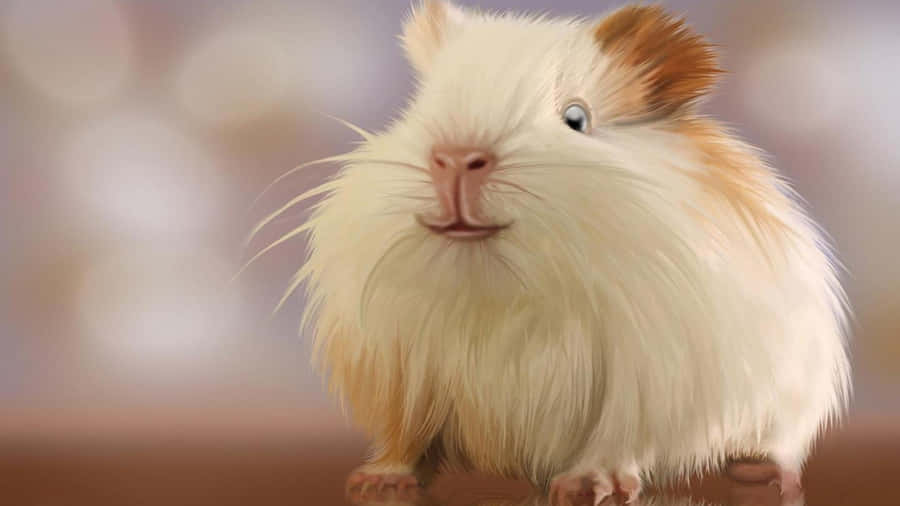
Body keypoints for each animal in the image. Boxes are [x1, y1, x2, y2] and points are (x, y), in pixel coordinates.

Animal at [260, 1, 851, 504]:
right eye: (416, 109)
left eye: (576, 118)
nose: (456, 160)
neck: (503, 288)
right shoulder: (401, 372)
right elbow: (404, 440)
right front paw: (377, 482)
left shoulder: (644, 381)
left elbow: (614, 439)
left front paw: (590, 486)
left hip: (790, 398)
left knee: (776, 444)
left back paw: (759, 472)